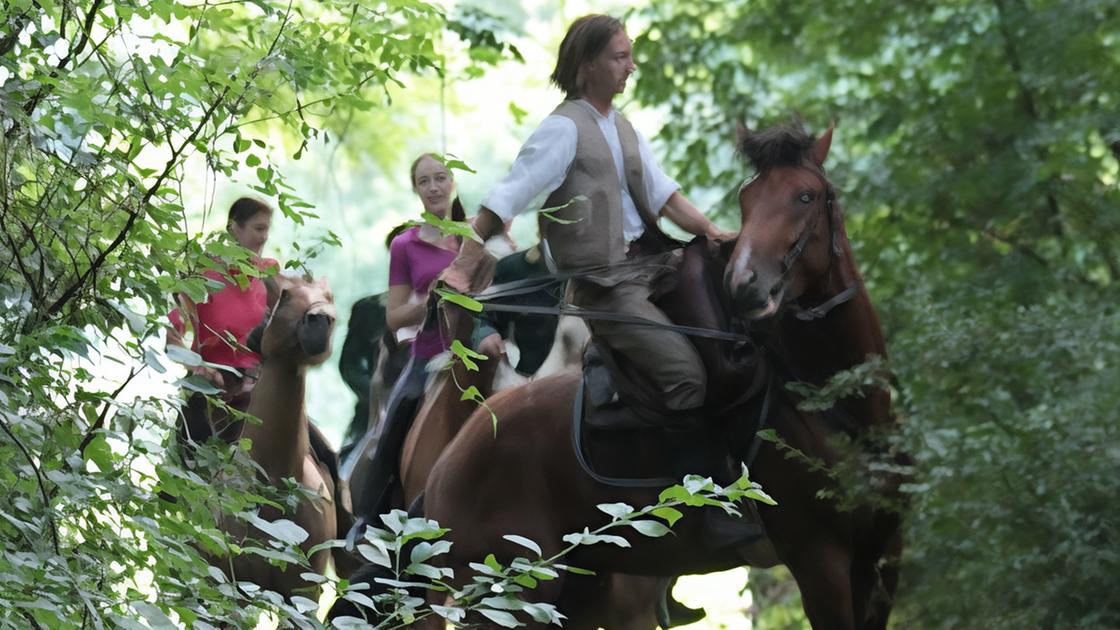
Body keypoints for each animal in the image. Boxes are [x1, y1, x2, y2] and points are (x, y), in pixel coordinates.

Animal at [356, 123, 900, 627]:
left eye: (805, 195)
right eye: (748, 202)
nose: (744, 283)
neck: (836, 402)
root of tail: (447, 466)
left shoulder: (881, 560)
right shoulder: (819, 561)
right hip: (508, 596)